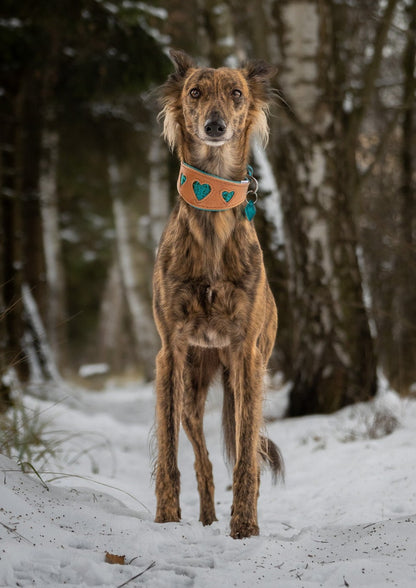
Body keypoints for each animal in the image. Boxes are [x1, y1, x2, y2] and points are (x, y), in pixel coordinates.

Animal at [153, 49, 282, 536]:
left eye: (236, 93)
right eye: (194, 92)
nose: (214, 126)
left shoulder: (246, 354)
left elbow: (246, 457)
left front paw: (244, 524)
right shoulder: (170, 353)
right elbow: (169, 449)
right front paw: (167, 516)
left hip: (247, 376)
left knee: (246, 447)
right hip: (192, 387)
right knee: (202, 461)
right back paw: (206, 516)